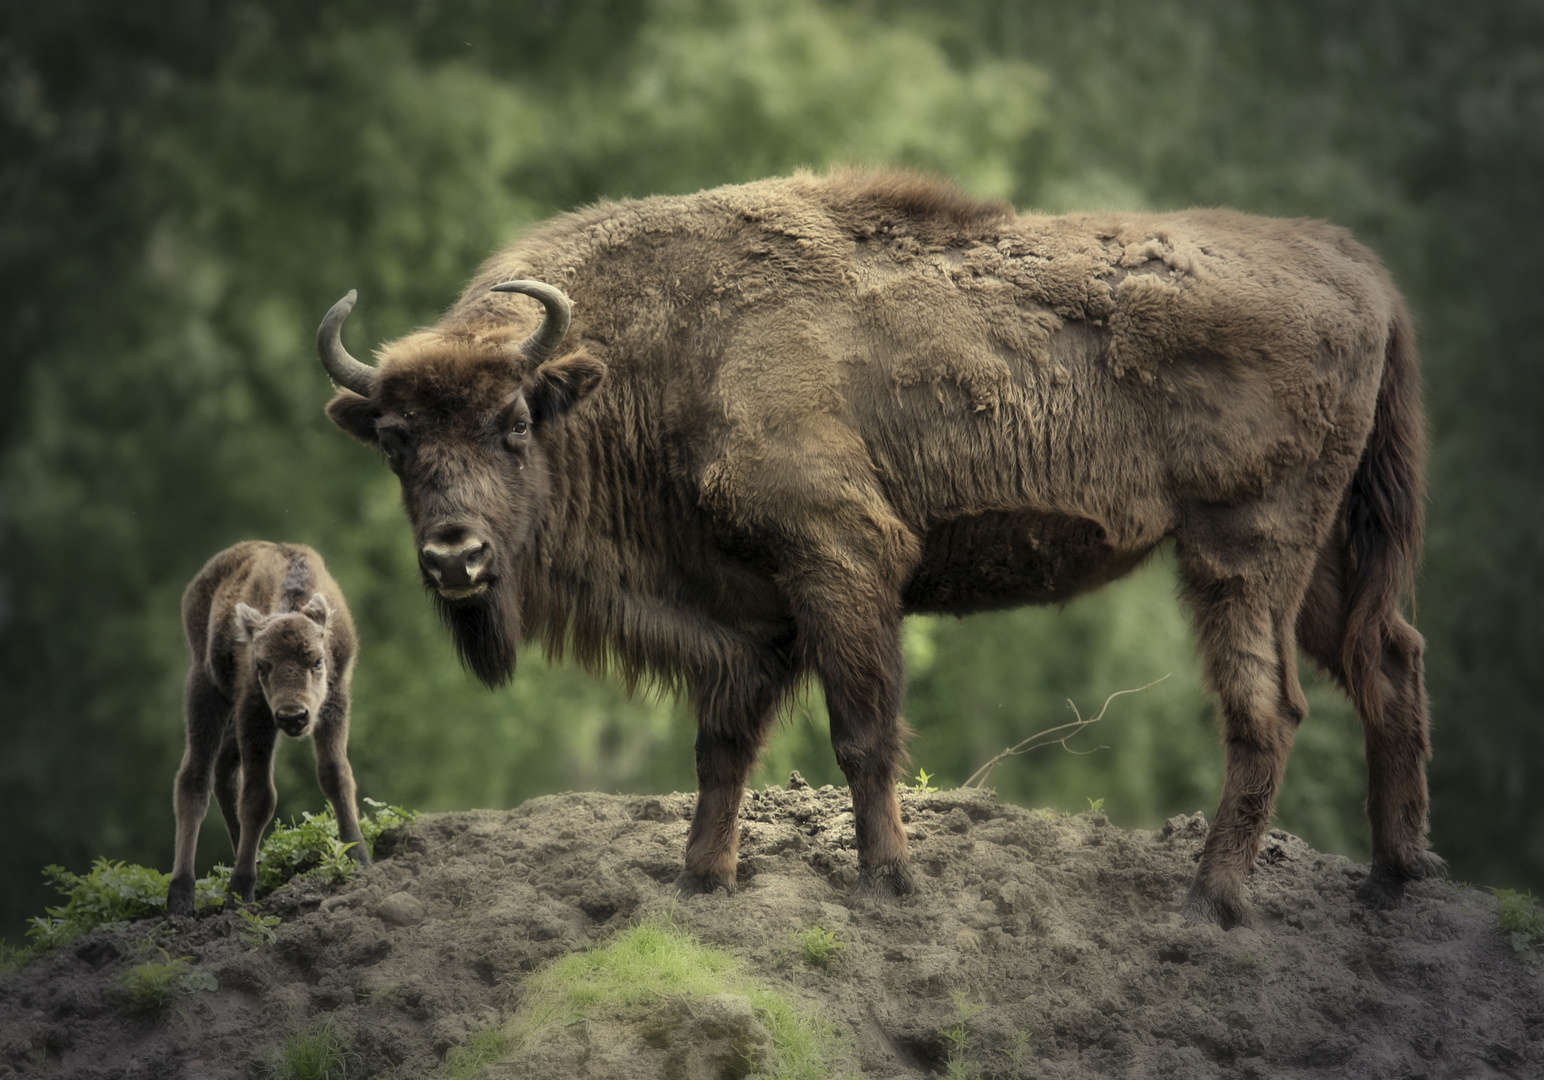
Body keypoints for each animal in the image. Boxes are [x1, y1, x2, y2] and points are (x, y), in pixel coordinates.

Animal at [169, 537, 370, 914]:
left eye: (317, 661)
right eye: (262, 665)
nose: (293, 716)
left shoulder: (335, 702)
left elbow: (336, 774)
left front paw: (359, 857)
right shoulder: (255, 712)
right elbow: (259, 797)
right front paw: (239, 890)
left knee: (223, 772)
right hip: (206, 689)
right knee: (195, 779)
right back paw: (181, 894)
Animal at [313, 170, 1432, 927]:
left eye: (512, 423)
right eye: (398, 440)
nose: (454, 558)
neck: (654, 358)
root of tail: (1361, 272)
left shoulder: (840, 561)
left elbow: (862, 729)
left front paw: (887, 879)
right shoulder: (747, 614)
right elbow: (722, 746)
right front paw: (701, 880)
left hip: (1241, 549)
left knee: (1266, 707)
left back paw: (1211, 899)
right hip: (1325, 559)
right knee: (1388, 663)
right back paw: (1390, 880)